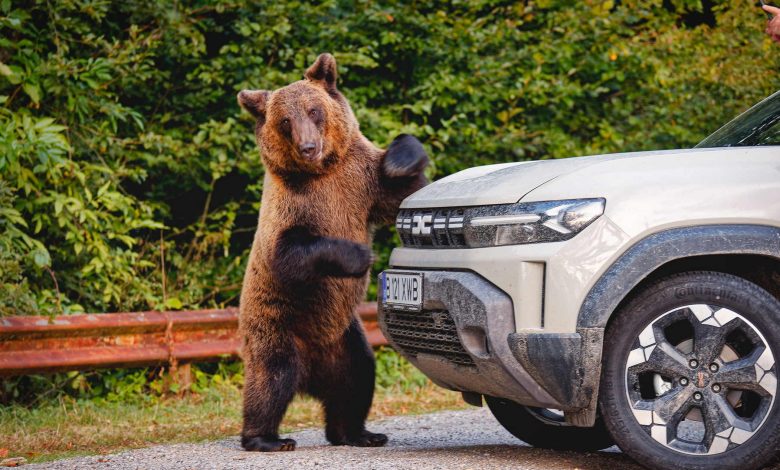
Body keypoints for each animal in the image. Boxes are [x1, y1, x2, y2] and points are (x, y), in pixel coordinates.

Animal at [236, 53, 428, 452]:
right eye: (285, 121)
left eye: (314, 110)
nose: (309, 147)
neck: (322, 172)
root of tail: (312, 375)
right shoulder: (292, 208)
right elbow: (290, 253)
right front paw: (360, 256)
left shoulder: (361, 182)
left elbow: (406, 188)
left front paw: (401, 158)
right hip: (277, 324)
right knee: (271, 377)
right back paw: (267, 438)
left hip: (344, 339)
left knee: (358, 377)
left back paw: (359, 433)